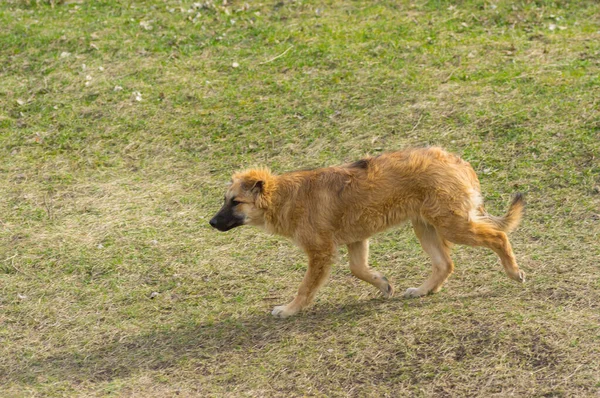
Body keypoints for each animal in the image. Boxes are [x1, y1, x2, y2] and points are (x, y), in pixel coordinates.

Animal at [210, 146, 524, 318]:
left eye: (235, 202)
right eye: (225, 200)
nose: (211, 223)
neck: (285, 197)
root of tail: (458, 161)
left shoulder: (320, 252)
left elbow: (305, 288)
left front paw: (289, 309)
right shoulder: (356, 240)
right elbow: (359, 270)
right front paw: (384, 284)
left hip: (452, 225)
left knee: (498, 237)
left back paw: (513, 272)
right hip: (425, 226)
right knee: (445, 264)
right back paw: (423, 290)